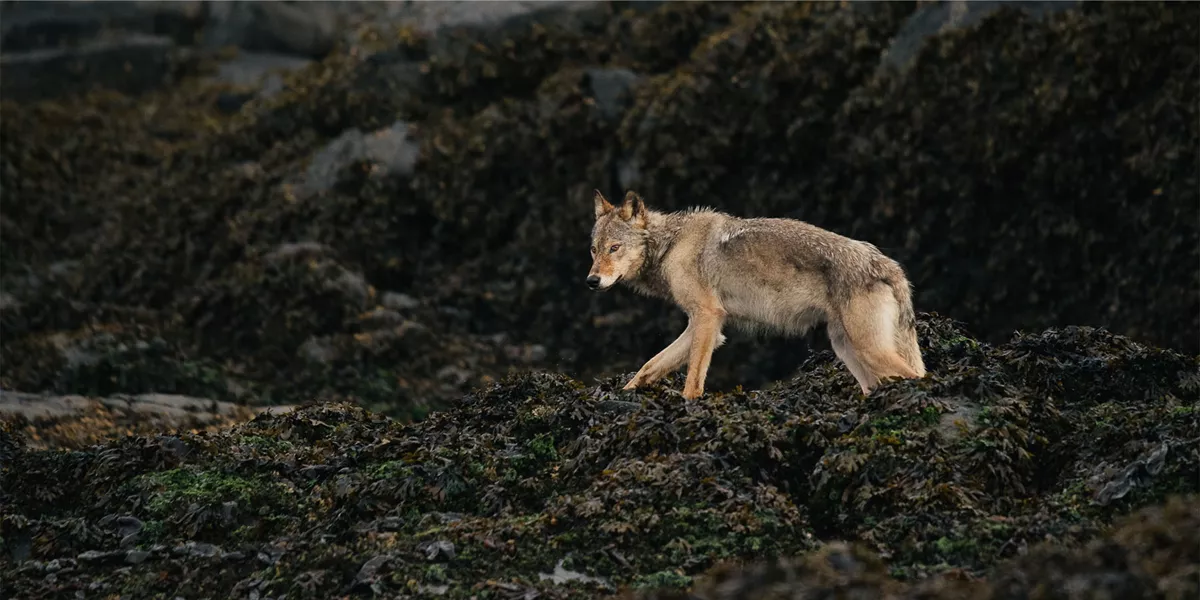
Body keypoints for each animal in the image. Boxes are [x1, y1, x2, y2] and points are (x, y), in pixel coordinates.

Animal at [587, 189, 926, 399]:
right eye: (593, 250)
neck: (671, 244)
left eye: (614, 248)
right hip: (849, 351)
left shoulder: (707, 318)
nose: (592, 281)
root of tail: (886, 263)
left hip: (870, 349)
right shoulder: (705, 326)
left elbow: (693, 383)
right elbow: (647, 368)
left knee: (918, 376)